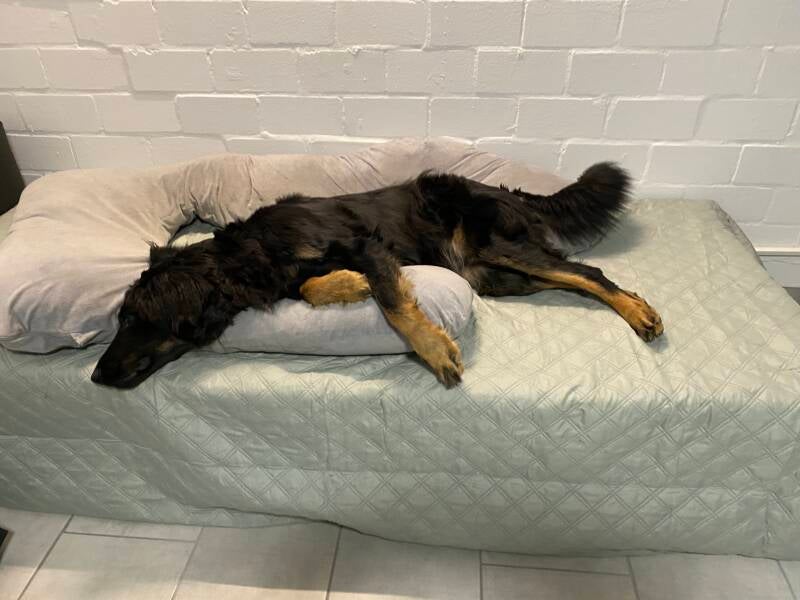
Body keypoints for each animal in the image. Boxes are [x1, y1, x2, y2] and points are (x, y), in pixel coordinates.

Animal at [91, 163, 663, 389]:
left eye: (132, 320)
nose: (95, 376)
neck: (248, 254)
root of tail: (509, 191)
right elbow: (311, 285)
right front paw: (347, 284)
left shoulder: (369, 244)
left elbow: (395, 305)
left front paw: (435, 350)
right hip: (491, 276)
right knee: (568, 278)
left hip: (499, 246)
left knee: (588, 271)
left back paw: (640, 312)